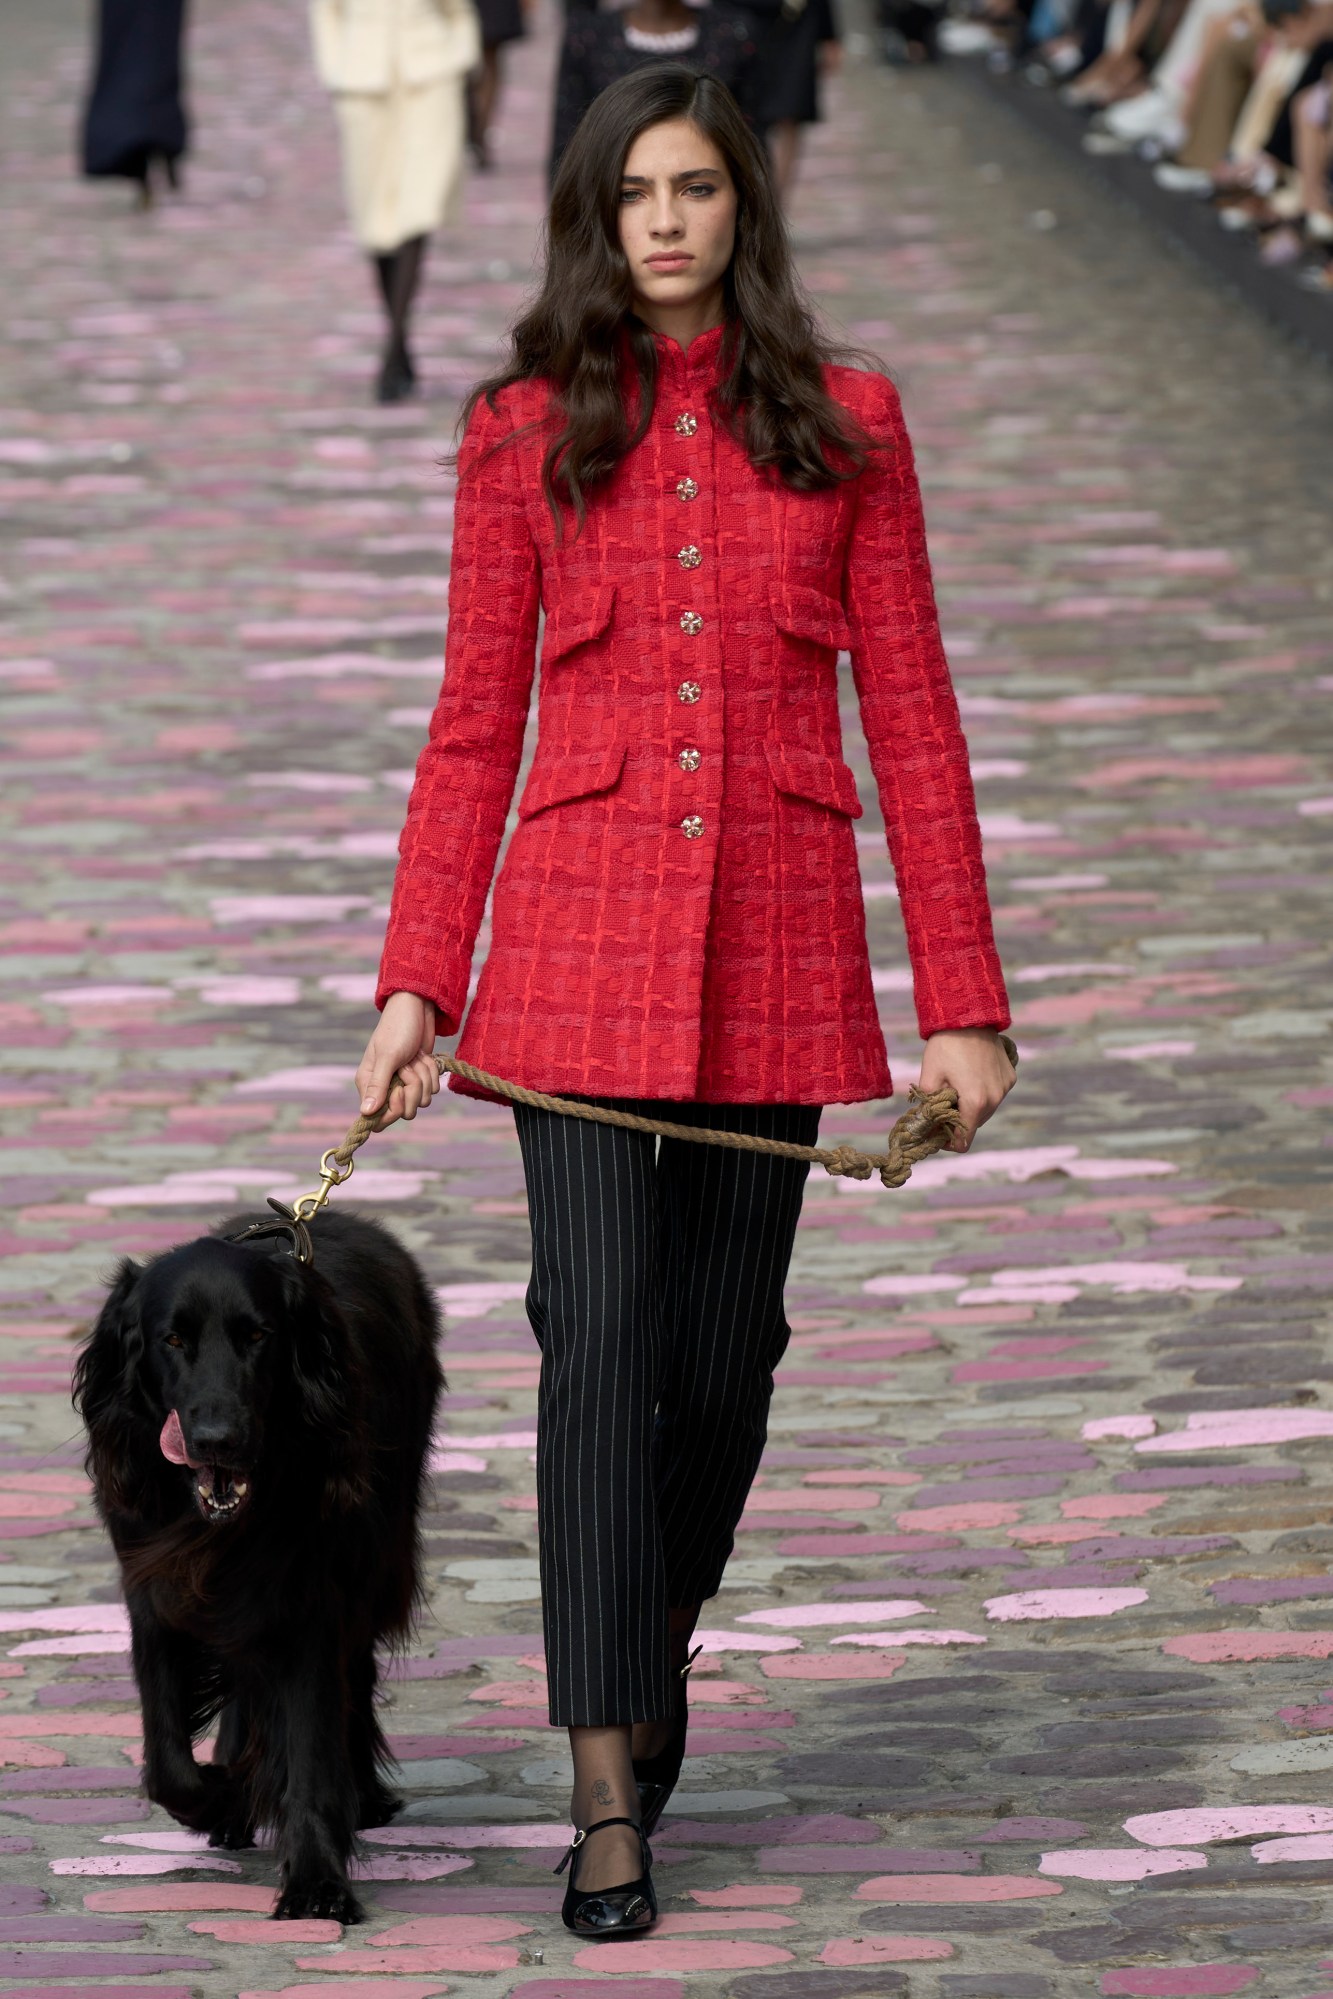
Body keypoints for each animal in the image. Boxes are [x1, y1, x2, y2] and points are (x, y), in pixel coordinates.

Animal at [72, 1199, 443, 1919]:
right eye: (173, 1340)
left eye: (258, 1336)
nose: (218, 1440)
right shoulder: (154, 1588)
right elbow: (169, 1763)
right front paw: (223, 1794)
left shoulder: (311, 1597)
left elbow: (309, 1742)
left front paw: (317, 1882)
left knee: (351, 1677)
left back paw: (359, 1795)